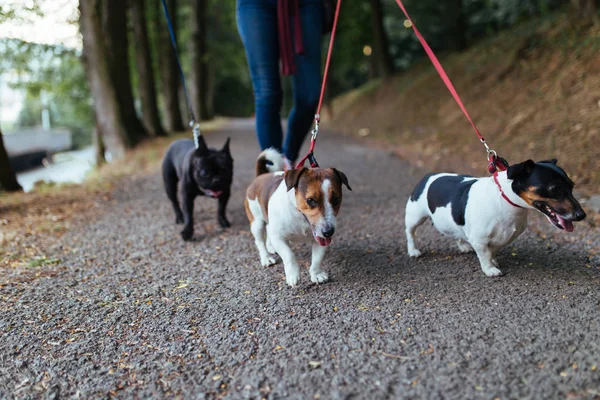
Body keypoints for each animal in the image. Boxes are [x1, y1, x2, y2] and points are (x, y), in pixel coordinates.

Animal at [406, 159, 584, 276]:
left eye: (572, 186)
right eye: (554, 189)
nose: (582, 215)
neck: (505, 200)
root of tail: (429, 175)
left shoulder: (504, 237)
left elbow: (492, 251)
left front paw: (493, 261)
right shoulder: (479, 239)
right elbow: (485, 255)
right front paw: (490, 269)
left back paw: (463, 246)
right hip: (414, 217)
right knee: (410, 233)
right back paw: (413, 251)